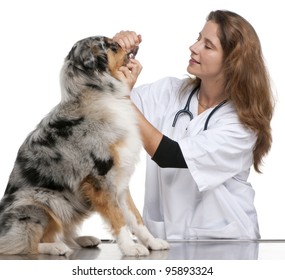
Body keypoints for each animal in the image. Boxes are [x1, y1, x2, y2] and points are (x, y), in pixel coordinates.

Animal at [0, 36, 169, 258]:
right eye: (112, 45)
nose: (130, 42)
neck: (96, 92)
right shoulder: (101, 180)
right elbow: (118, 219)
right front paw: (130, 247)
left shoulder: (120, 181)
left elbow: (136, 218)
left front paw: (153, 242)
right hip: (41, 201)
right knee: (24, 243)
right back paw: (55, 247)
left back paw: (82, 240)